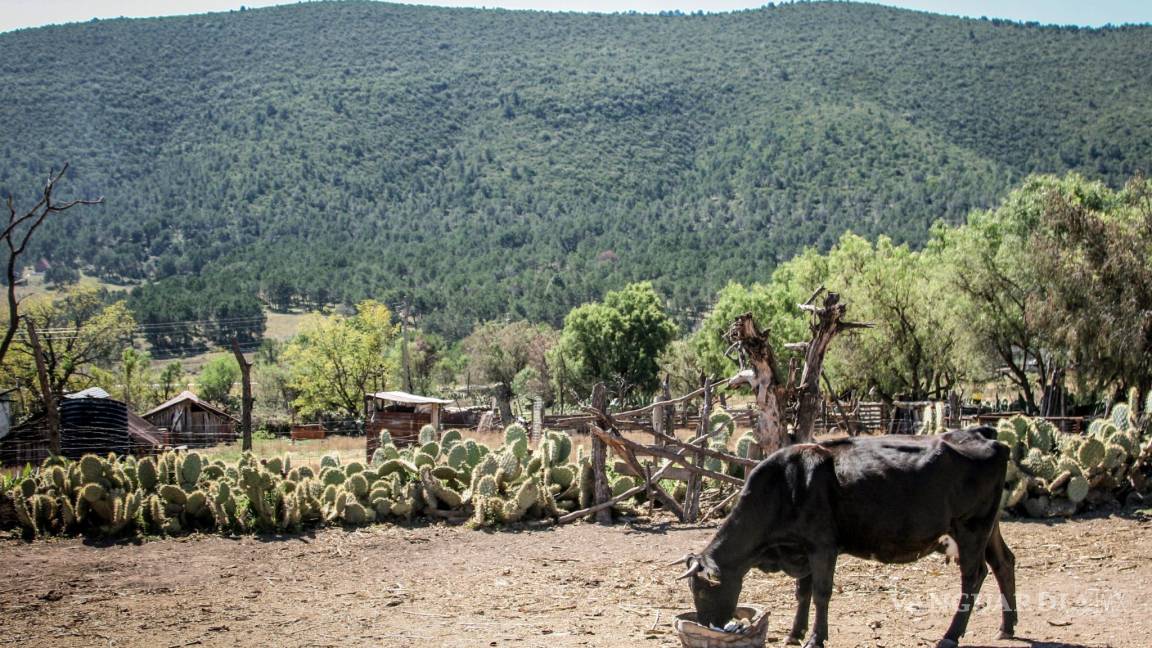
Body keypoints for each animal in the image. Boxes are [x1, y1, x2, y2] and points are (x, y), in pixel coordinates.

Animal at [672, 424, 1018, 645]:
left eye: (702, 589)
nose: (708, 624)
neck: (785, 486)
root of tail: (986, 435)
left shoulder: (823, 546)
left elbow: (821, 593)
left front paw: (815, 637)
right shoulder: (801, 549)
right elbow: (802, 593)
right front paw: (794, 633)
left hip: (971, 527)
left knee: (974, 576)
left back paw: (950, 636)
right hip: (990, 526)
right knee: (1004, 563)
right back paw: (1007, 627)